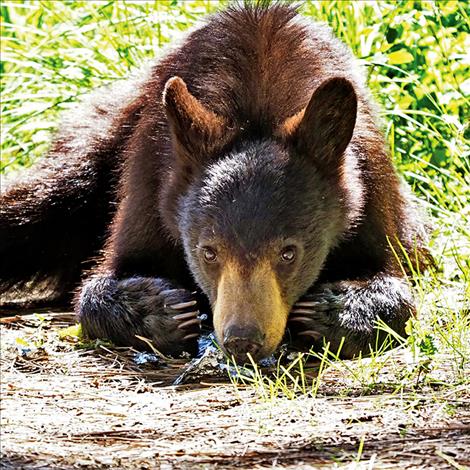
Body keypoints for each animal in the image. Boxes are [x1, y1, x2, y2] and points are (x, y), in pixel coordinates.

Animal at [0, 3, 430, 362]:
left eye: (288, 252)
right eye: (208, 251)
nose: (243, 339)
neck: (259, 101)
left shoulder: (370, 187)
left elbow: (397, 278)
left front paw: (335, 310)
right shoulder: (151, 178)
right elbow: (100, 283)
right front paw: (159, 307)